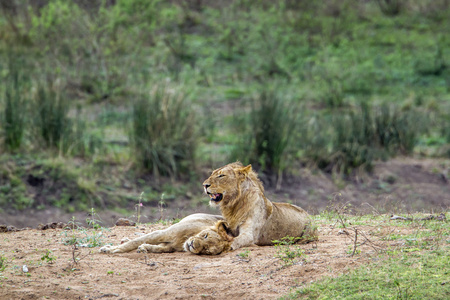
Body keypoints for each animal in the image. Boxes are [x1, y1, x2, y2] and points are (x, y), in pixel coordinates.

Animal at [99, 213, 236, 255]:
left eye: (206, 250)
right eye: (205, 236)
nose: (192, 245)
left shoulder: (169, 246)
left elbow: (160, 248)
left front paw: (144, 248)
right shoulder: (162, 233)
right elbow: (133, 242)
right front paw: (111, 249)